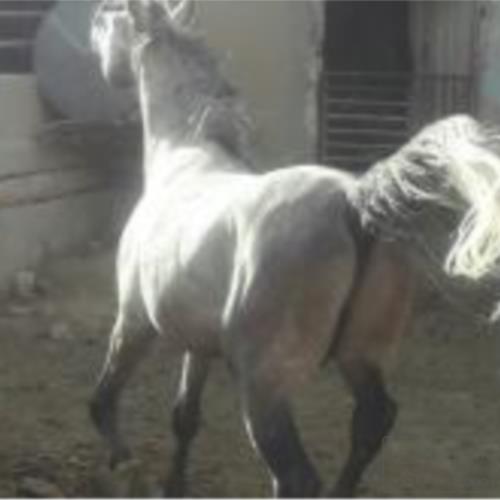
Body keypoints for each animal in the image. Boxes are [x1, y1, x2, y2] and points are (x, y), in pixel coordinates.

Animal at [89, 0, 500, 496]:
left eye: (113, 17)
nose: (92, 21)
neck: (183, 158)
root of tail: (356, 201)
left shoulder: (134, 322)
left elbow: (104, 401)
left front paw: (125, 465)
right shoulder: (198, 343)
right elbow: (184, 418)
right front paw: (173, 485)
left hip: (264, 388)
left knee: (296, 476)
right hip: (359, 358)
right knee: (373, 422)